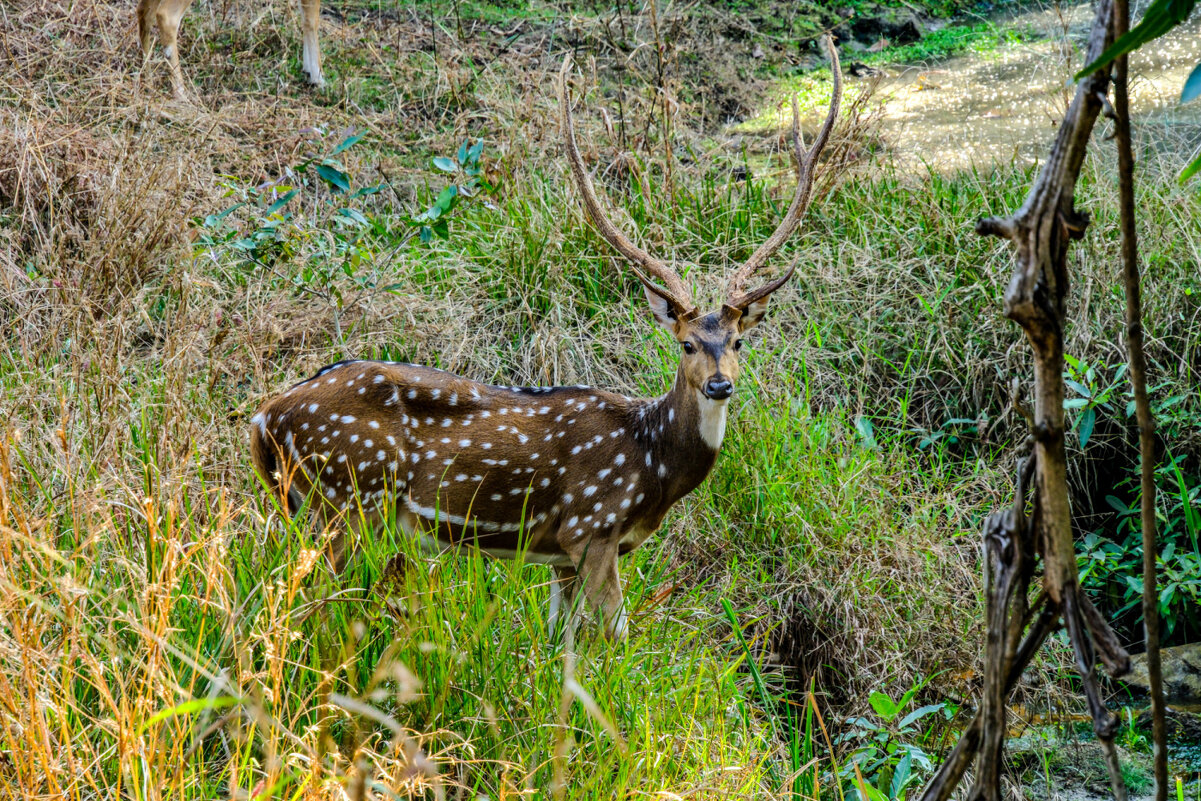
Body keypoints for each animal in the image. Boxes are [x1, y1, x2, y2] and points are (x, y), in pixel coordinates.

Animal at [138, 0, 324, 99]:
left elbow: (306, 17)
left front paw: (309, 71)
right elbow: (312, 19)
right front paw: (319, 78)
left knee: (143, 12)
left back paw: (147, 83)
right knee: (166, 16)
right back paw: (182, 94)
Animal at [248, 45, 840, 643]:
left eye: (739, 342)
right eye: (688, 345)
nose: (720, 385)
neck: (652, 466)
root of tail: (264, 418)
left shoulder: (559, 554)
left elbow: (561, 642)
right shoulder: (591, 526)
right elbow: (616, 635)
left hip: (313, 506)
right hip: (348, 498)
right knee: (309, 605)